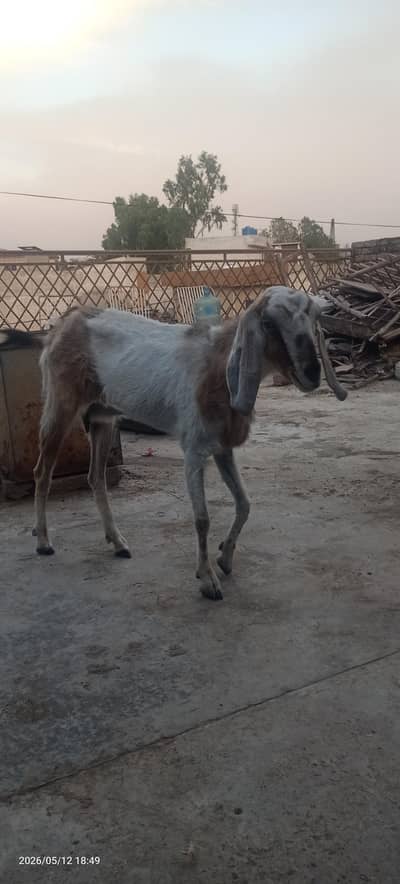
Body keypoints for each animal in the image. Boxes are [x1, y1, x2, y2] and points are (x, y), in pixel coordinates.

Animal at [0, 286, 346, 600]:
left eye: (312, 319)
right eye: (270, 324)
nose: (312, 373)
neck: (217, 364)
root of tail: (60, 326)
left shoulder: (222, 448)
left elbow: (245, 503)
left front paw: (225, 556)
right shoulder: (193, 449)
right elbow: (202, 519)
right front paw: (207, 580)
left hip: (102, 417)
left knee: (95, 477)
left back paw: (118, 543)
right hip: (60, 405)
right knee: (42, 472)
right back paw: (44, 542)